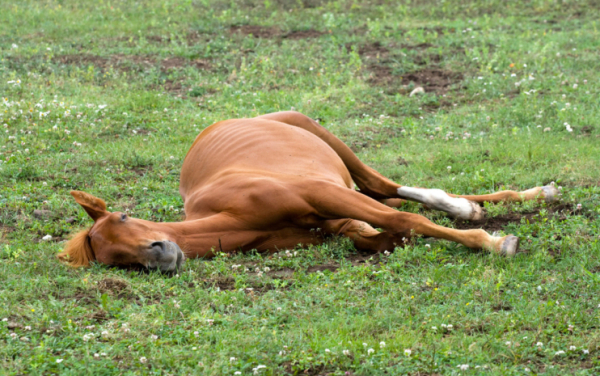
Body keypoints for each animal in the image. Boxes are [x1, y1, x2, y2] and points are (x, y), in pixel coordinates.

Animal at [58, 110, 560, 272]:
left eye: (123, 217)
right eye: (115, 260)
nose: (161, 254)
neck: (237, 215)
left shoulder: (324, 195)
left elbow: (405, 219)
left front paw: (496, 243)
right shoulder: (331, 220)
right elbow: (380, 233)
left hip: (320, 137)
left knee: (384, 187)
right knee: (389, 196)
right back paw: (501, 201)